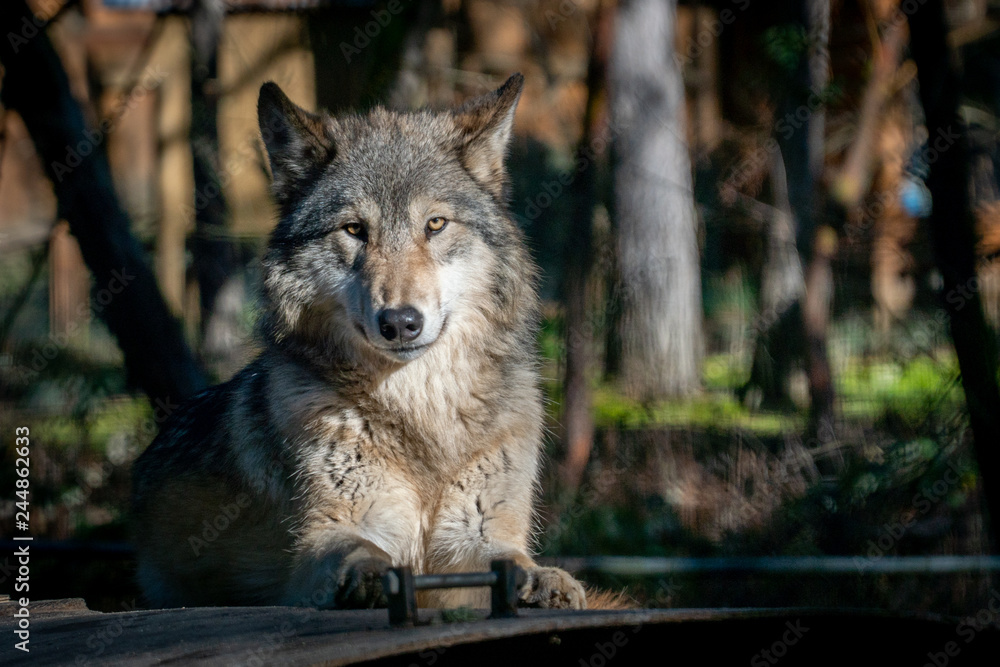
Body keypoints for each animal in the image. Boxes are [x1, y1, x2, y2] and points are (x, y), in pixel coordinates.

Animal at [131, 74, 588, 611]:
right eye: (354, 230)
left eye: (435, 224)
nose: (401, 322)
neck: (421, 409)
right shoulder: (333, 532)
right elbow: (359, 550)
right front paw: (373, 576)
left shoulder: (471, 535)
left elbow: (510, 560)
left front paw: (543, 579)